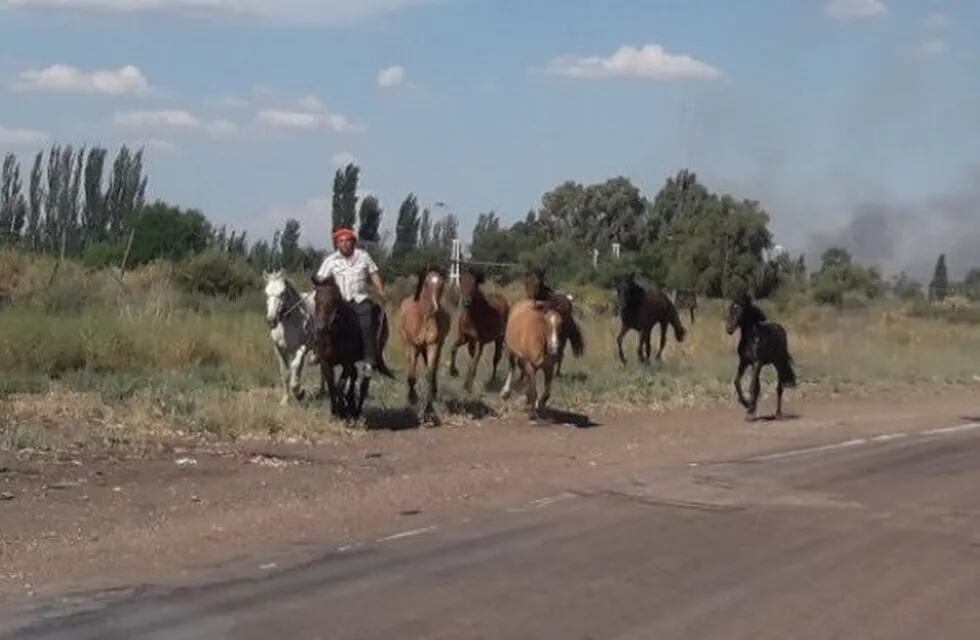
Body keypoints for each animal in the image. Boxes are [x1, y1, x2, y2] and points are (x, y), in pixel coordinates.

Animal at [264, 270, 318, 404]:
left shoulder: (302, 348)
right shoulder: (280, 350)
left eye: (282, 292)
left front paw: (299, 392)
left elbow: (295, 366)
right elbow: (285, 373)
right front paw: (285, 400)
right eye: (266, 293)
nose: (271, 320)